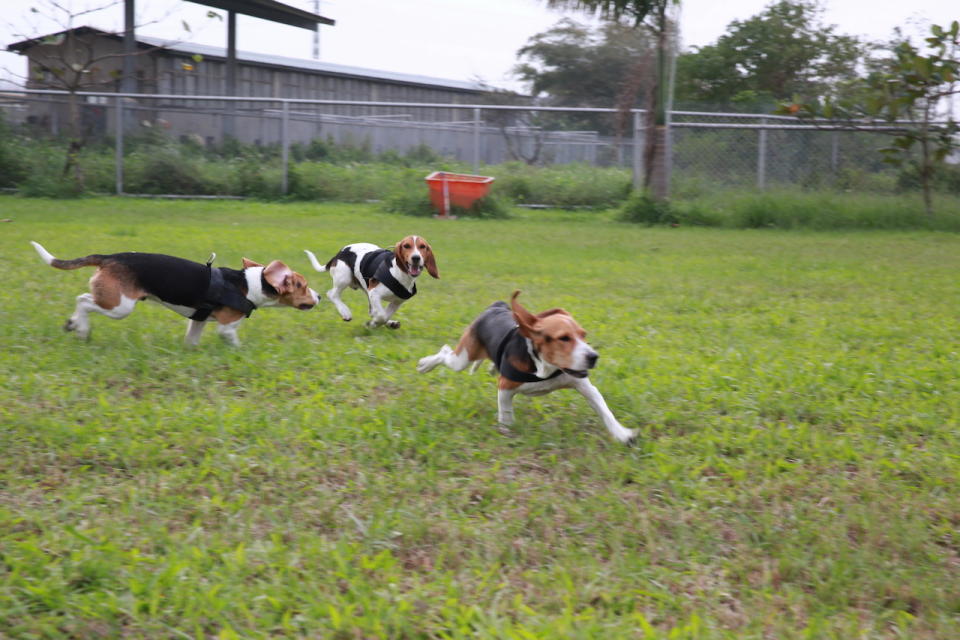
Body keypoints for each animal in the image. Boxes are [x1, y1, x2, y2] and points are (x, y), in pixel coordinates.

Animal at [30, 242, 320, 348]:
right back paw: (79, 328)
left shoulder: (199, 320)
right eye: (303, 286)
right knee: (83, 301)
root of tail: (110, 257)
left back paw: (73, 325)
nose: (318, 297)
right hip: (120, 306)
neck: (250, 284)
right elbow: (232, 340)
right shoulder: (227, 327)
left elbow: (191, 341)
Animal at [304, 234, 438, 330]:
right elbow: (381, 316)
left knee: (373, 311)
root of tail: (339, 253)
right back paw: (345, 312)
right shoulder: (374, 293)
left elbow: (384, 315)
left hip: (365, 289)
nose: (416, 258)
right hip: (344, 277)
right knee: (332, 294)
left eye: (423, 247)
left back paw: (390, 323)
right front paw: (373, 324)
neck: (400, 274)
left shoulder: (397, 301)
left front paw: (382, 323)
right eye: (406, 246)